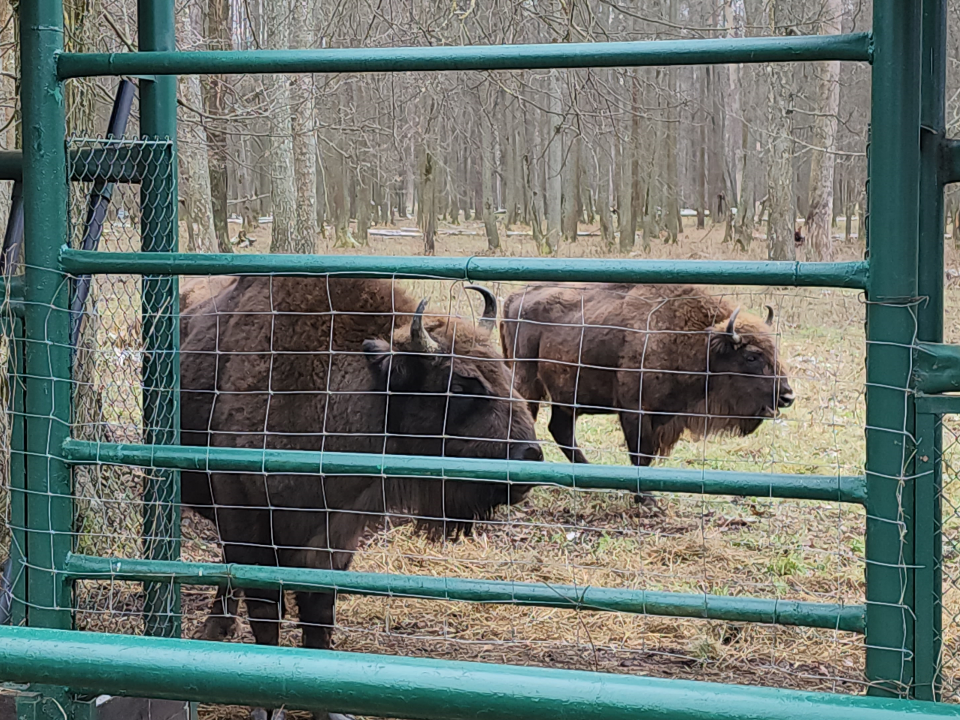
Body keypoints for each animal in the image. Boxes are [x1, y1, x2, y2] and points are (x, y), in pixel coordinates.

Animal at [179, 276, 540, 720]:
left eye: (504, 371)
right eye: (459, 385)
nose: (531, 456)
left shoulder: (335, 537)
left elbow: (319, 617)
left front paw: (328, 710)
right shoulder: (249, 526)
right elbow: (267, 614)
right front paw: (265, 709)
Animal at [498, 282, 792, 500]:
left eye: (775, 351)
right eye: (752, 357)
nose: (787, 395)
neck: (700, 344)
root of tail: (516, 297)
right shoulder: (635, 410)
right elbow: (641, 453)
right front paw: (645, 496)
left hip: (567, 398)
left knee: (560, 429)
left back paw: (588, 476)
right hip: (528, 382)